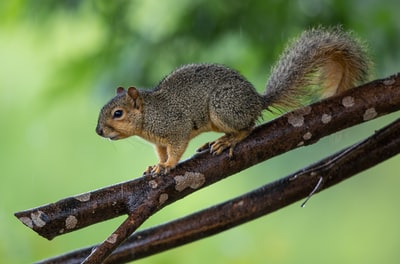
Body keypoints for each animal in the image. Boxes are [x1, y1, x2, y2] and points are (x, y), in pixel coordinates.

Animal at [95, 26, 370, 175]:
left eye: (118, 113)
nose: (98, 131)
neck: (149, 115)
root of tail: (257, 101)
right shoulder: (159, 141)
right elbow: (162, 153)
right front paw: (157, 165)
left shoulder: (175, 126)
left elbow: (176, 149)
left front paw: (169, 165)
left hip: (223, 107)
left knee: (248, 128)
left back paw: (230, 140)